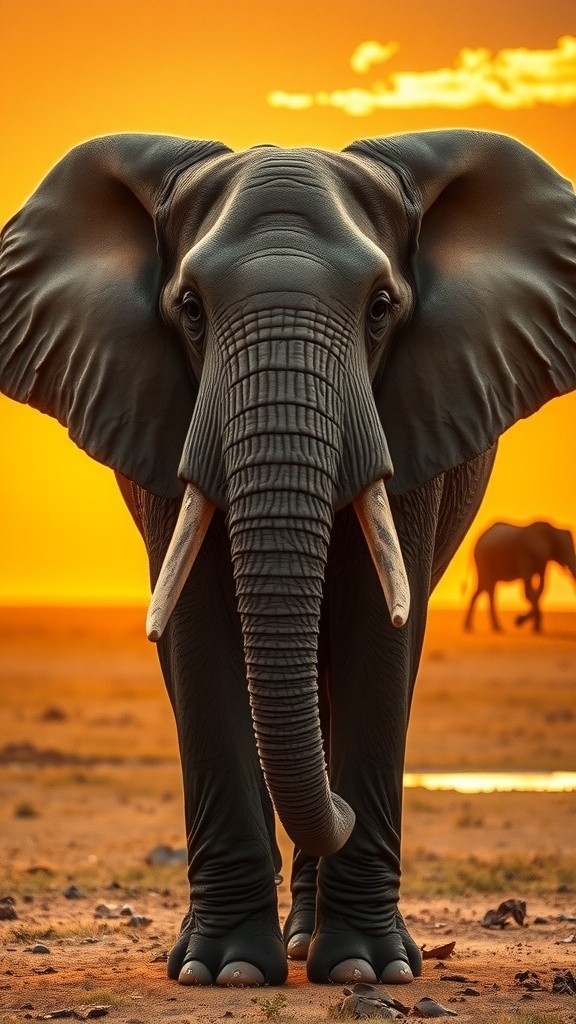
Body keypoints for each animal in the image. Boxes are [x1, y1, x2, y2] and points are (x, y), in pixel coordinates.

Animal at [0, 129, 575, 989]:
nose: (343, 808)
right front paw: (225, 971)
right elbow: (198, 630)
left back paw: (313, 944)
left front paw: (370, 969)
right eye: (191, 310)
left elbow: (379, 629)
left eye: (381, 309)